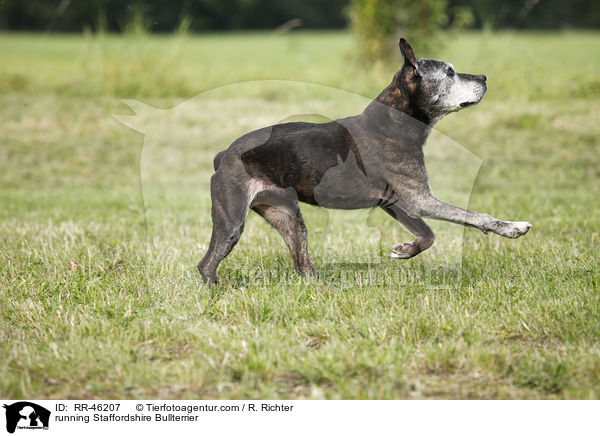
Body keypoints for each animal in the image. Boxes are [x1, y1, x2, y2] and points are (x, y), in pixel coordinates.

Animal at [199, 37, 532, 286]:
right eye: (450, 73)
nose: (484, 78)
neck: (396, 121)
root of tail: (223, 155)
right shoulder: (420, 199)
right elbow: (474, 216)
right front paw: (512, 227)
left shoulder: (397, 202)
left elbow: (428, 235)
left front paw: (404, 251)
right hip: (232, 220)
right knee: (207, 264)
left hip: (288, 217)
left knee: (302, 264)